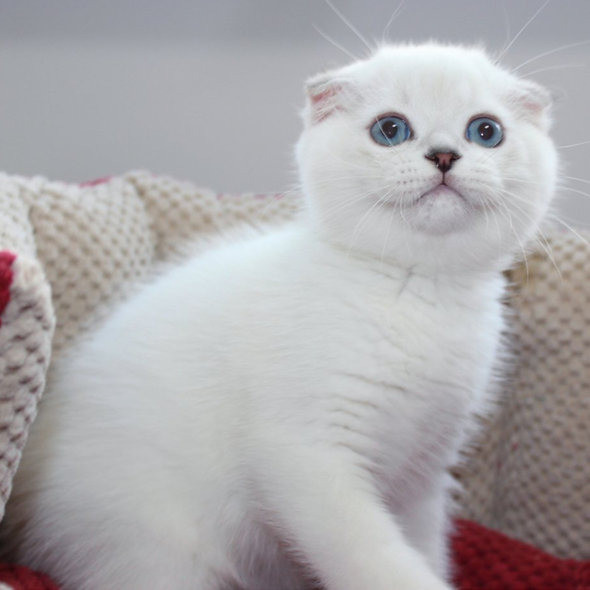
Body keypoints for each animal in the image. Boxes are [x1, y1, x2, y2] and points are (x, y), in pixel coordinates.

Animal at [1, 45, 560, 590]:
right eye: (391, 129)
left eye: (485, 131)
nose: (444, 154)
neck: (420, 290)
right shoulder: (307, 455)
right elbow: (377, 561)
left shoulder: (423, 477)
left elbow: (422, 549)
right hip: (156, 545)